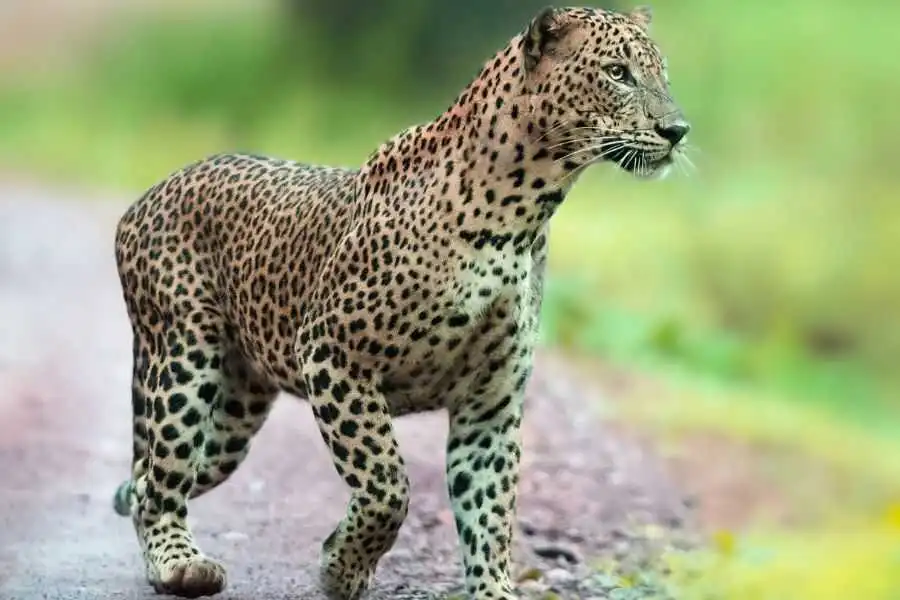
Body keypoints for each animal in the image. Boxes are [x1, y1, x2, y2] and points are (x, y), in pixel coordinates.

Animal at [110, 5, 689, 599]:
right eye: (619, 73)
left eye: (662, 74)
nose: (677, 130)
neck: (524, 211)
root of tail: (151, 193)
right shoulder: (332, 354)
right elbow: (387, 483)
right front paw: (342, 566)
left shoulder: (491, 403)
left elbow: (490, 514)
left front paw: (491, 588)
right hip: (185, 363)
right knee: (160, 476)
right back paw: (180, 565)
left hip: (234, 411)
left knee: (149, 475)